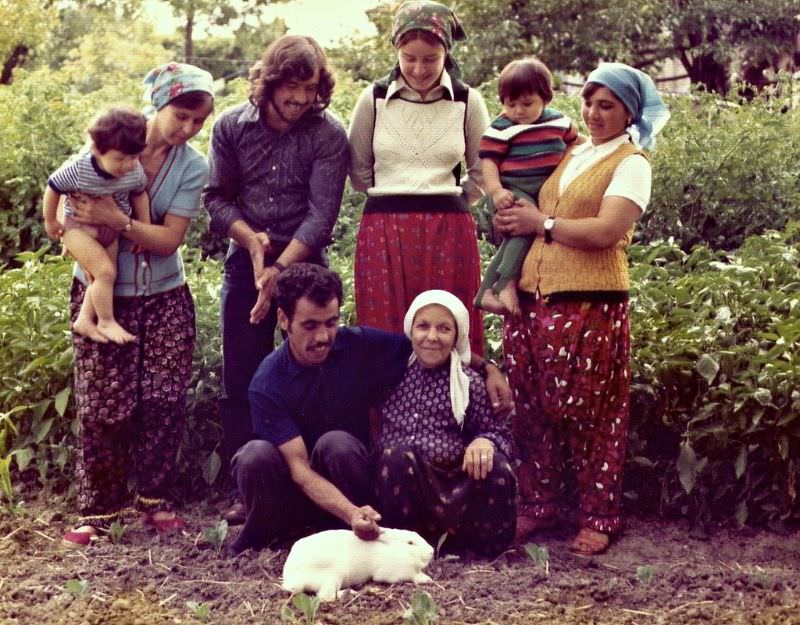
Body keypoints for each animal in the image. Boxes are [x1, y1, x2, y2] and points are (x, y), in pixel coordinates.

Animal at [282, 528, 432, 600]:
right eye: (410, 543)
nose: (431, 551)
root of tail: (292, 580)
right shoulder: (394, 572)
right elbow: (412, 575)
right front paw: (426, 579)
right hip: (334, 578)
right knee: (327, 597)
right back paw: (350, 593)